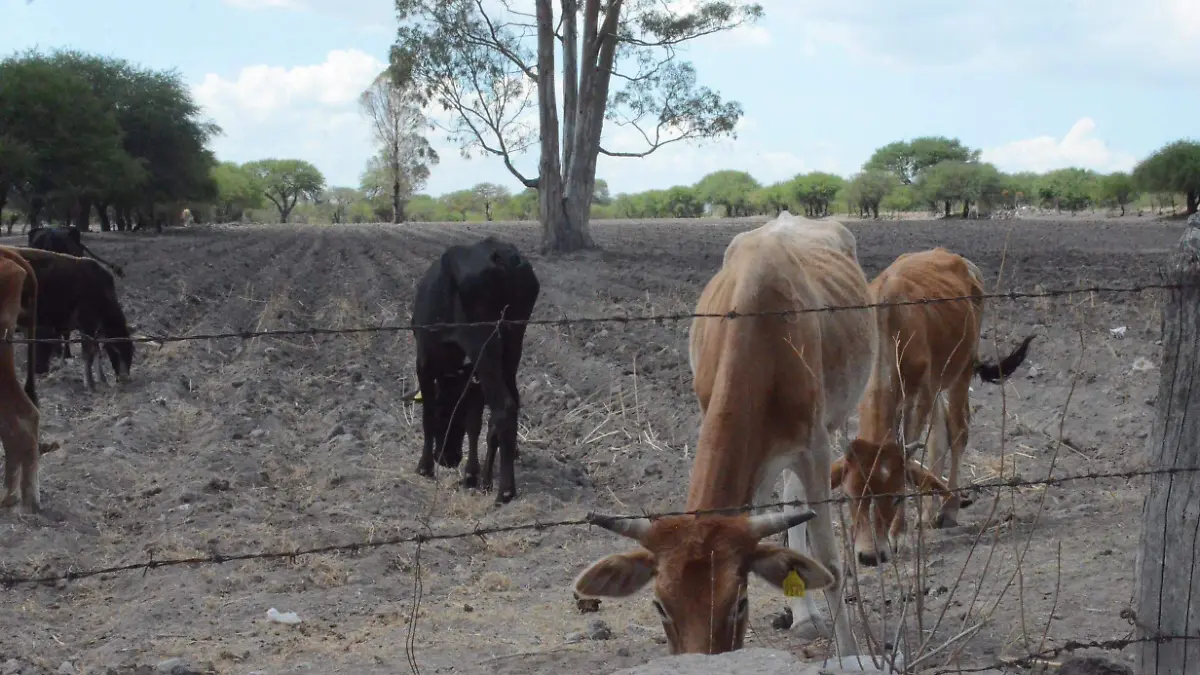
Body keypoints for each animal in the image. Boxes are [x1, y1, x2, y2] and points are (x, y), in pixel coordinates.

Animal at [405, 234, 537, 502]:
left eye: (446, 412)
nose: (447, 459)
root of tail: (504, 255)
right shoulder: (472, 376)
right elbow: (474, 424)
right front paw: (472, 475)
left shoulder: (423, 362)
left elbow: (428, 415)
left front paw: (424, 466)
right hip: (511, 346)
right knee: (508, 407)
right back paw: (490, 479)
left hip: (484, 345)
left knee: (504, 408)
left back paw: (505, 491)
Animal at [571, 210, 873, 653]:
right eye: (661, 606)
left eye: (739, 601)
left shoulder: (814, 446)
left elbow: (830, 563)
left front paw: (852, 654)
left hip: (834, 422)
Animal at [835, 246, 1041, 562]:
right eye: (847, 495)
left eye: (897, 496)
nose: (869, 555)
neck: (889, 326)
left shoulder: (919, 395)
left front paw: (899, 534)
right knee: (940, 436)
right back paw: (929, 512)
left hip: (960, 371)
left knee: (957, 431)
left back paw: (948, 509)